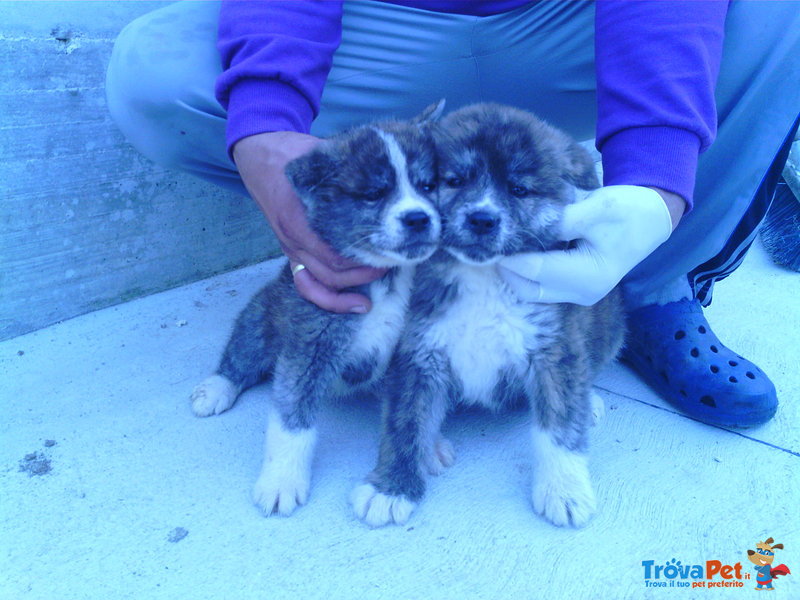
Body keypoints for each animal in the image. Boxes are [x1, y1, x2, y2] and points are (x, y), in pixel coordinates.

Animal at [192, 103, 444, 516]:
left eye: (428, 185)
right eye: (374, 194)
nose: (418, 218)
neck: (389, 275)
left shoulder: (416, 346)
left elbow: (409, 412)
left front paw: (407, 467)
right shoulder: (311, 339)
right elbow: (291, 419)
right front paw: (282, 480)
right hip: (263, 317)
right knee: (242, 352)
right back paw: (217, 386)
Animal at [354, 105, 624, 528]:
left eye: (519, 189)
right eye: (454, 180)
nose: (482, 219)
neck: (482, 277)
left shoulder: (554, 348)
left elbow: (560, 426)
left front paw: (564, 489)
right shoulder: (417, 351)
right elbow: (405, 421)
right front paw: (392, 487)